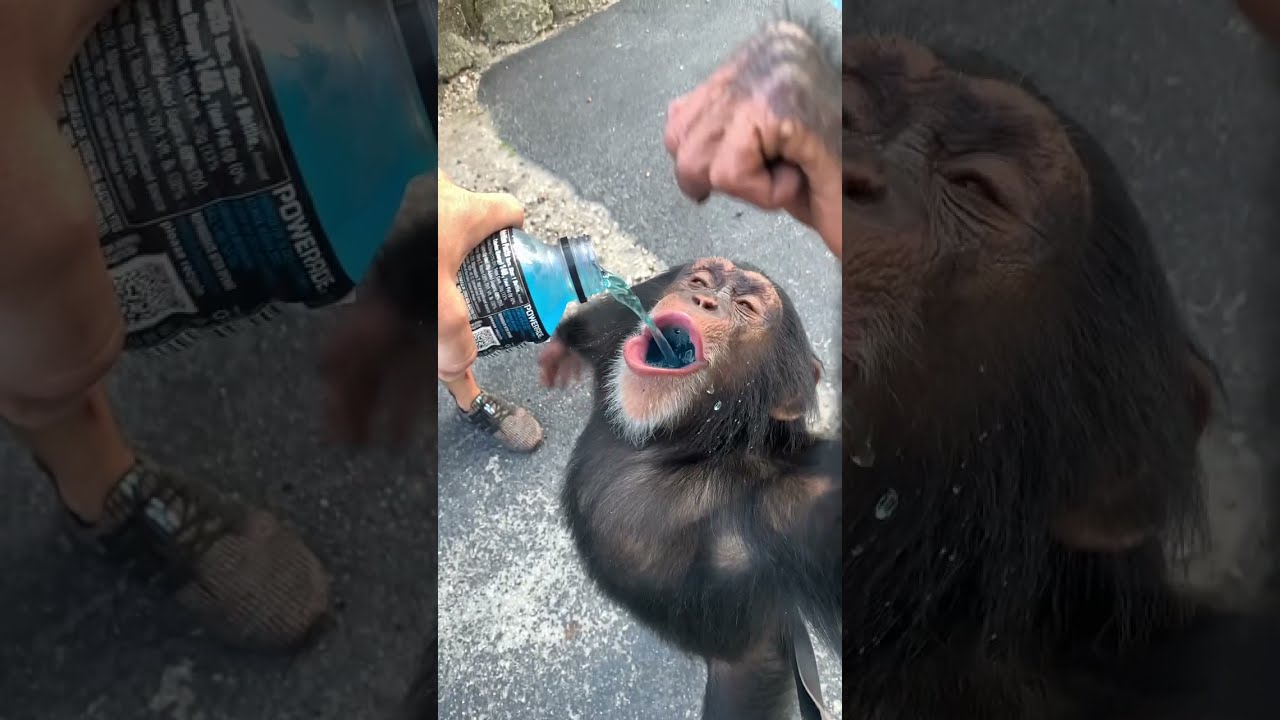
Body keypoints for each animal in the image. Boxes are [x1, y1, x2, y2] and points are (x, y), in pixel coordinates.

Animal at [537, 257, 840, 720]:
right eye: (699, 280)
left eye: (747, 307)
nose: (703, 299)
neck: (673, 443)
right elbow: (615, 314)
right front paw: (561, 346)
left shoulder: (798, 502)